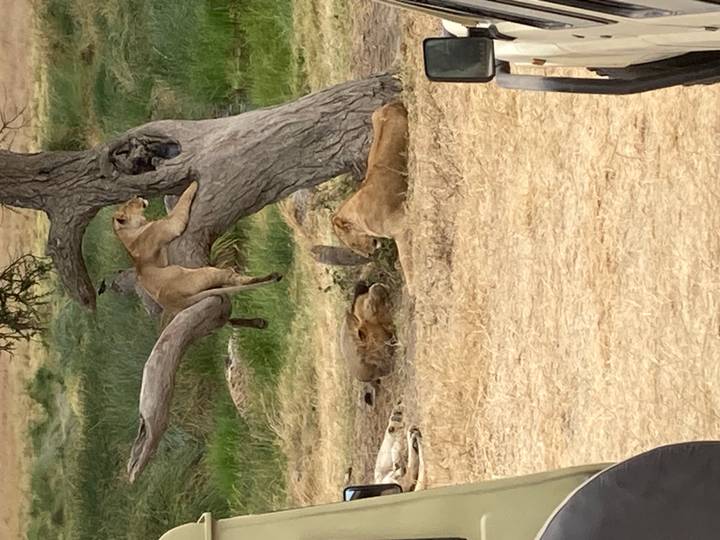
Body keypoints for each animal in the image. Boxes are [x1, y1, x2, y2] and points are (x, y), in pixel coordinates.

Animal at [112, 181, 280, 327]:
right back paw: (268, 276)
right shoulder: (171, 224)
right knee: (232, 279)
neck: (129, 233)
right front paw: (193, 183)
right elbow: (183, 201)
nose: (138, 195)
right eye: (130, 204)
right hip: (201, 273)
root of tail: (173, 301)